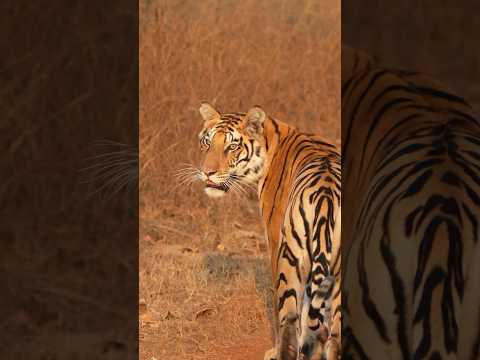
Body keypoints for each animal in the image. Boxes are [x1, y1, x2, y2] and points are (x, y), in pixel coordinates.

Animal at [195, 103, 342, 360]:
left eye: (232, 146)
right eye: (207, 142)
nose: (207, 172)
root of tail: (326, 195)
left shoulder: (275, 244)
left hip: (289, 259)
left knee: (289, 318)